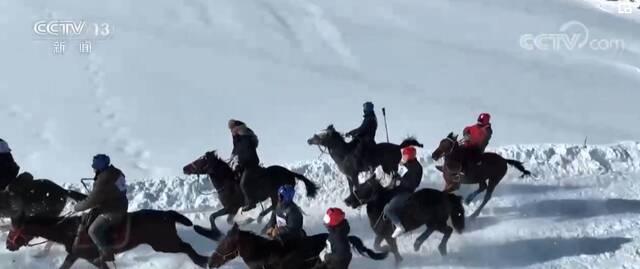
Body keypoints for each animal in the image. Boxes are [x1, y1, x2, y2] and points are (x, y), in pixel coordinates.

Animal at [6, 209, 209, 268]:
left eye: (14, 231)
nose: (8, 246)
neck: (70, 231)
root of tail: (167, 214)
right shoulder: (83, 257)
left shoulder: (89, 256)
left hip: (164, 244)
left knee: (187, 247)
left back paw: (202, 260)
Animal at [182, 150, 318, 240]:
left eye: (200, 160)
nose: (184, 168)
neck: (227, 182)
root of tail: (290, 173)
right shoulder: (232, 210)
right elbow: (228, 220)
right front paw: (246, 221)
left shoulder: (231, 207)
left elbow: (212, 216)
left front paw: (216, 233)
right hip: (274, 196)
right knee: (273, 209)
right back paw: (260, 218)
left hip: (276, 195)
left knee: (274, 210)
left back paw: (264, 226)